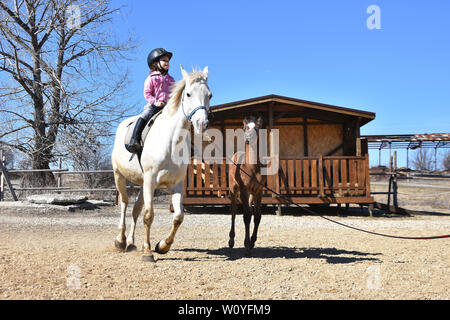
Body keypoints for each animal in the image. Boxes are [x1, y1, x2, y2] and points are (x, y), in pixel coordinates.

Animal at [111, 65, 212, 262]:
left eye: (209, 95)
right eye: (188, 94)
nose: (202, 123)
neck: (171, 141)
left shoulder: (176, 184)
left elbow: (179, 217)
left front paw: (162, 246)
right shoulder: (151, 180)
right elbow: (149, 216)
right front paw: (148, 252)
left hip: (142, 183)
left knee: (135, 209)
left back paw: (131, 243)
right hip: (119, 176)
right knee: (125, 204)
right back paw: (120, 240)